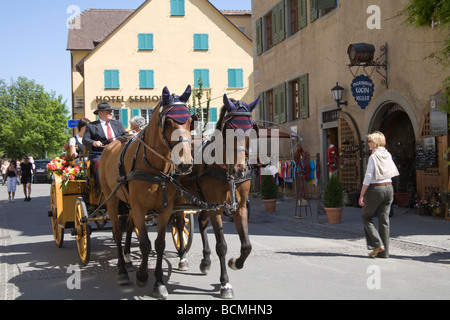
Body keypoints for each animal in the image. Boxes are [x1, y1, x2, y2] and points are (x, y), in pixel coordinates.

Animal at [99, 85, 192, 300]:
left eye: (191, 120)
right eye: (168, 122)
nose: (185, 163)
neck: (154, 166)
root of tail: (110, 145)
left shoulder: (166, 209)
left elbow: (159, 244)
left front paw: (158, 282)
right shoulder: (139, 207)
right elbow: (144, 244)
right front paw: (142, 276)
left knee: (128, 227)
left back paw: (127, 258)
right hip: (112, 199)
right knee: (117, 232)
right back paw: (122, 270)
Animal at [175, 94, 260, 298]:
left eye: (251, 130)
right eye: (229, 129)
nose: (239, 170)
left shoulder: (240, 207)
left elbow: (247, 245)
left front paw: (235, 263)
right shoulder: (217, 208)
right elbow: (221, 246)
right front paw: (225, 284)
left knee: (201, 222)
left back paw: (205, 261)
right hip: (180, 198)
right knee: (180, 225)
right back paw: (182, 258)